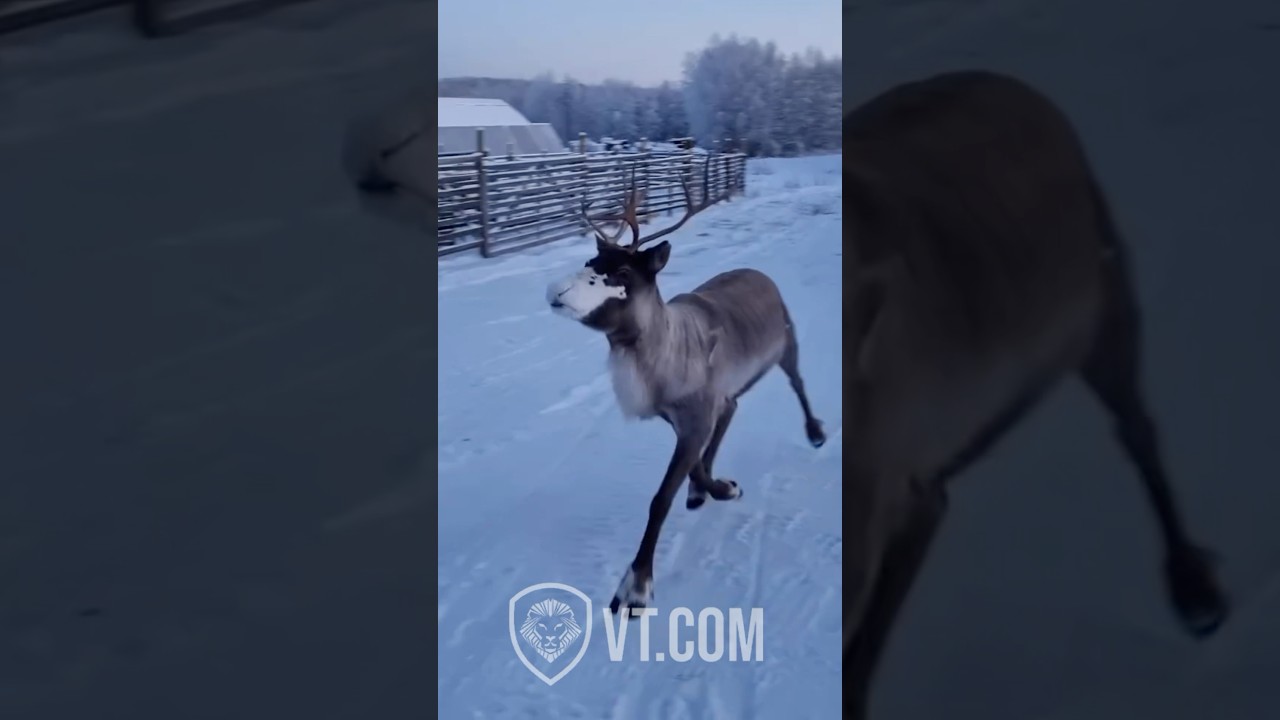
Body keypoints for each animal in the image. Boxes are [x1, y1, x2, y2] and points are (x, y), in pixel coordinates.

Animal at [544, 157, 828, 615]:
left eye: (622, 271)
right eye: (590, 261)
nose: (557, 291)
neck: (657, 356)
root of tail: (759, 273)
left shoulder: (694, 418)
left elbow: (660, 498)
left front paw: (636, 586)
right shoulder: (679, 417)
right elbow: (694, 464)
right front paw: (716, 487)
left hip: (787, 341)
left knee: (798, 382)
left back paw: (815, 431)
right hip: (729, 388)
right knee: (732, 409)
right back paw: (702, 489)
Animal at [841, 69, 1230, 718]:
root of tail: (1024, 90)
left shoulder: (902, 498)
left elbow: (854, 671)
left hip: (1105, 299)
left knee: (1138, 429)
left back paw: (1193, 586)